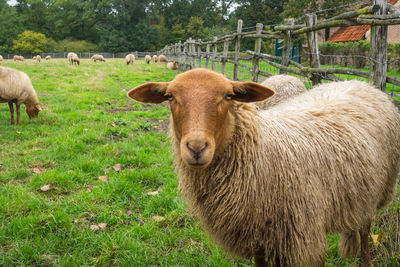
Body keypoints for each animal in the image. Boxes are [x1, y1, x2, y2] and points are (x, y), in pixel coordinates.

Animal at [128, 68, 400, 266]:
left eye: (228, 96)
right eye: (170, 96)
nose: (196, 147)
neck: (262, 155)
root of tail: (361, 83)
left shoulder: (304, 242)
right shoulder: (258, 238)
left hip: (377, 188)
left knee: (365, 231)